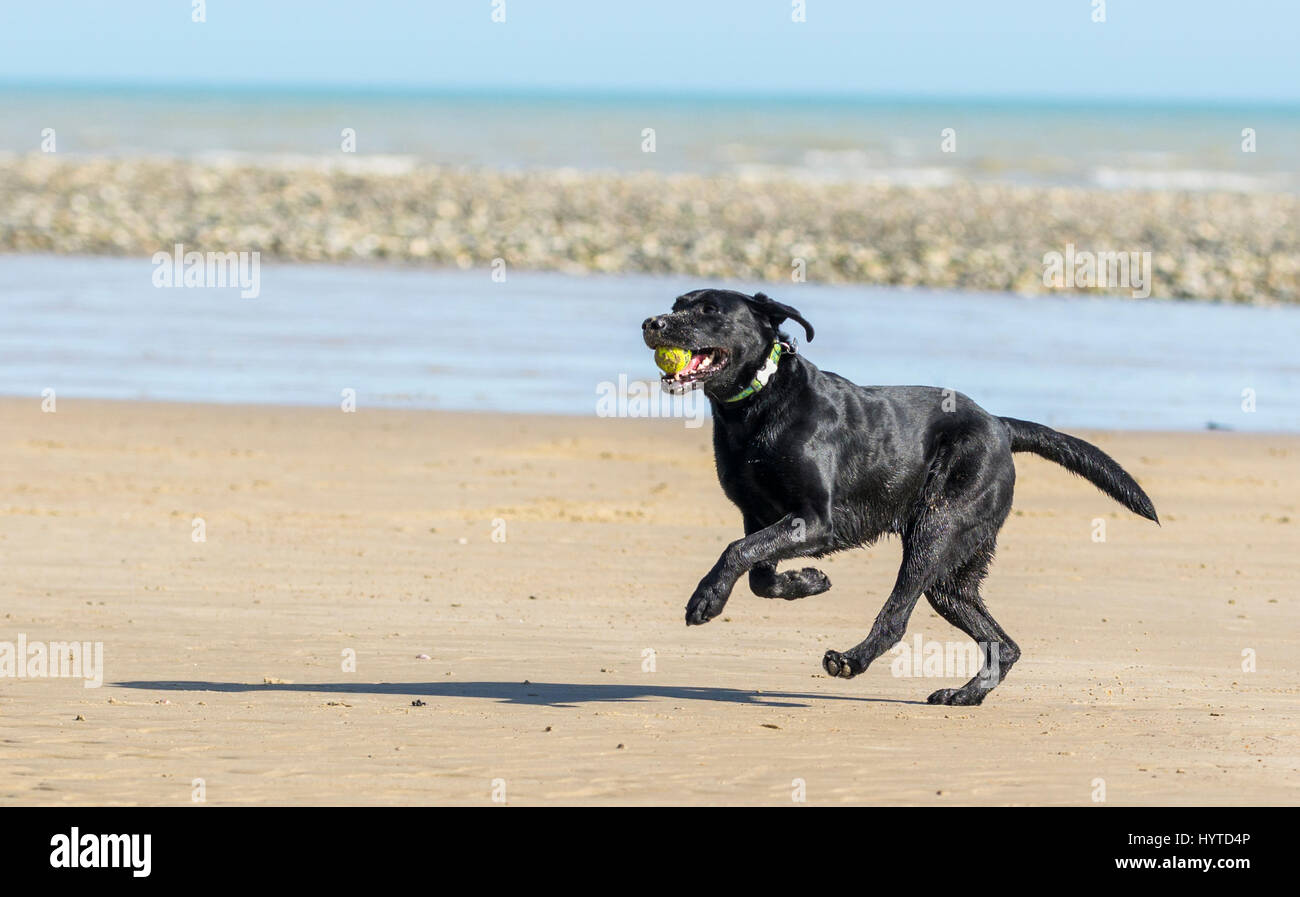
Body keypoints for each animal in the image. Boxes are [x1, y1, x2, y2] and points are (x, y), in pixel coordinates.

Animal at [639, 289, 1159, 702]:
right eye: (676, 304)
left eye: (708, 309)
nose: (652, 323)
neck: (758, 404)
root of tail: (1001, 426)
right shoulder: (759, 516)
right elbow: (758, 572)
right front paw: (807, 581)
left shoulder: (815, 519)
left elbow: (736, 551)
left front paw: (705, 600)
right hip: (951, 577)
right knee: (1003, 643)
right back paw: (965, 695)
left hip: (935, 530)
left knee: (896, 618)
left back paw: (853, 660)